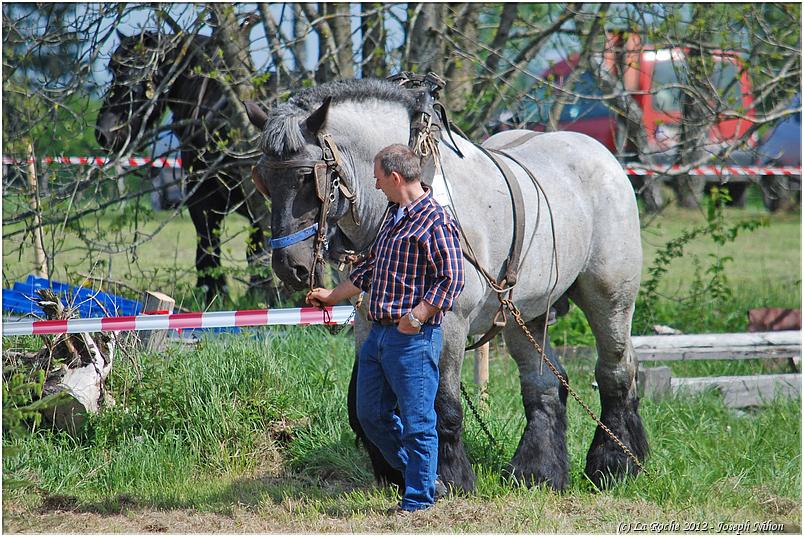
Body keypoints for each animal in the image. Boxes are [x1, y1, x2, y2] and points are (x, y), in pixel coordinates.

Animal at [96, 31, 278, 304]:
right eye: (113, 70)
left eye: (138, 73)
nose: (104, 133)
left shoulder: (204, 196)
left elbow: (212, 249)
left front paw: (216, 292)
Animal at [243, 77, 648, 492]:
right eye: (264, 179)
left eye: (308, 178)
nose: (289, 266)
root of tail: (607, 159)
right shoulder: (370, 318)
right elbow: (368, 403)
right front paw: (396, 470)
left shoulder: (448, 321)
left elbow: (442, 405)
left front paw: (449, 477)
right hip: (526, 312)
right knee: (544, 384)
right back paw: (537, 472)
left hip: (609, 297)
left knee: (616, 370)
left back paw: (615, 463)